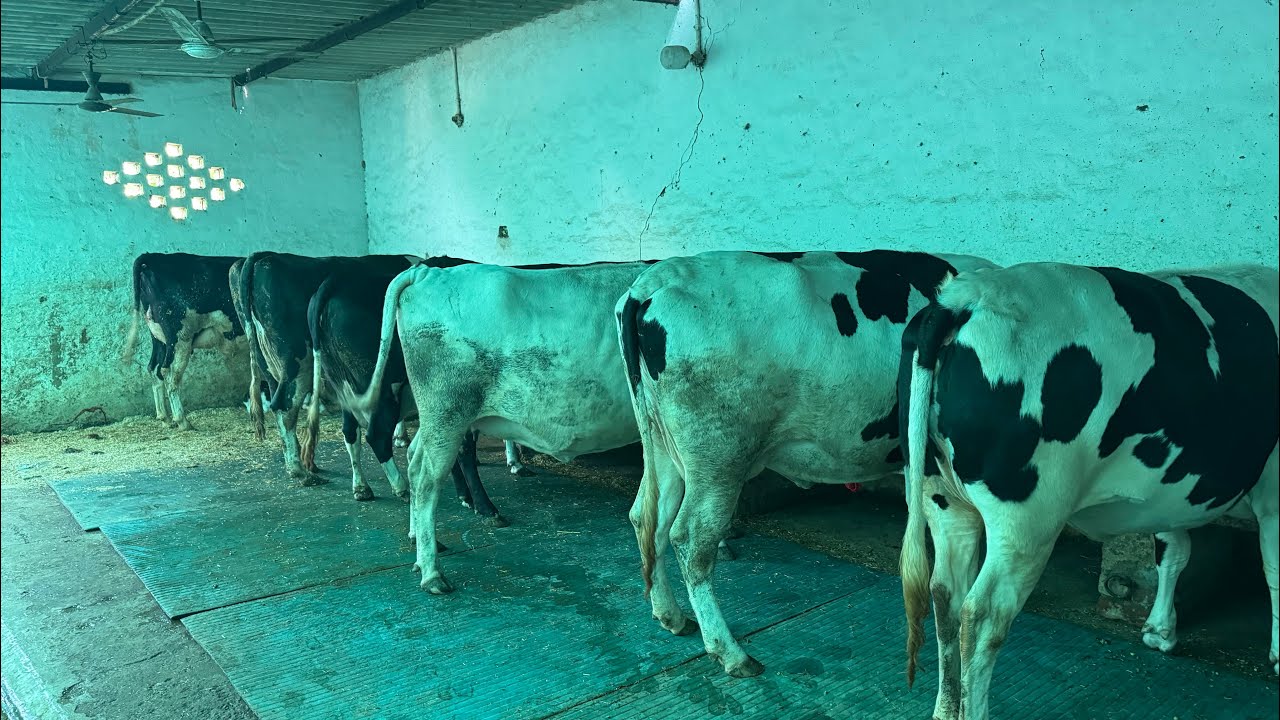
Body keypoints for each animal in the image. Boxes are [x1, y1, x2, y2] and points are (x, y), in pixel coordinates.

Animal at [122, 253, 246, 430]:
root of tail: (152, 257)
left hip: (159, 338)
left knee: (153, 369)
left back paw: (165, 418)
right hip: (180, 338)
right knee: (170, 374)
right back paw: (182, 421)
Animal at [299, 266, 514, 519]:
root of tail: (336, 280)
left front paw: (466, 496)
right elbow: (464, 448)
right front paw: (483, 505)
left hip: (346, 388)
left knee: (351, 433)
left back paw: (361, 487)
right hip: (383, 389)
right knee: (377, 436)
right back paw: (402, 487)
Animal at [616, 249, 996, 678]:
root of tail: (655, 279)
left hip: (664, 445)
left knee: (648, 518)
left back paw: (670, 615)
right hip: (718, 454)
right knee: (691, 539)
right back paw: (730, 652)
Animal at [898, 262, 1278, 720]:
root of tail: (962, 296)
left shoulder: (1170, 489)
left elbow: (1174, 550)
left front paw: (1160, 630)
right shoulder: (1276, 486)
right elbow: (1274, 567)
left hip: (942, 497)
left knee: (945, 595)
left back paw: (944, 708)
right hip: (1027, 518)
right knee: (983, 614)